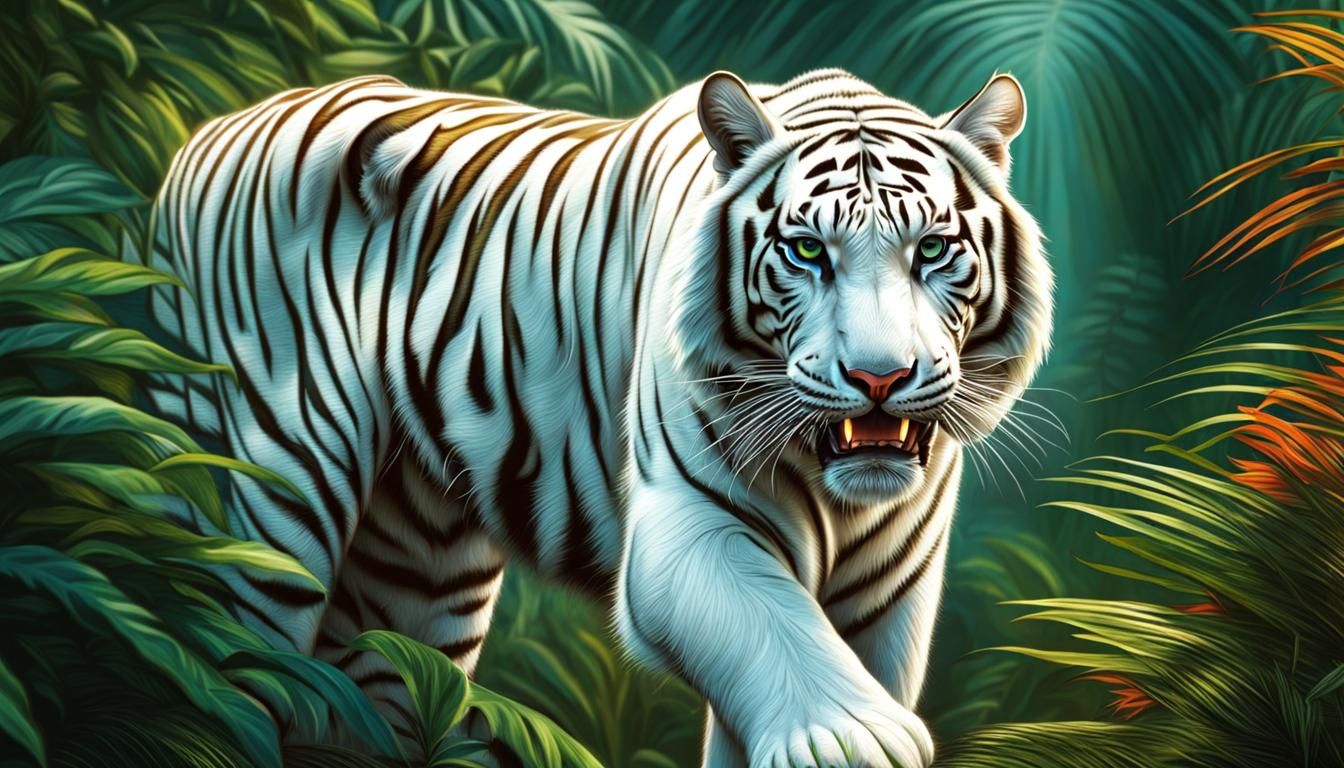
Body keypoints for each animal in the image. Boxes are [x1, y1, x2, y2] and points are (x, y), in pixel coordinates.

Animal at [146, 67, 1052, 767]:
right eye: (806, 252)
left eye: (932, 249)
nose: (878, 376)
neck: (840, 495)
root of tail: (205, 132)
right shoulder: (688, 531)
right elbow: (783, 638)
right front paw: (856, 736)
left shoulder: (889, 597)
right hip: (265, 497)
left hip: (418, 574)